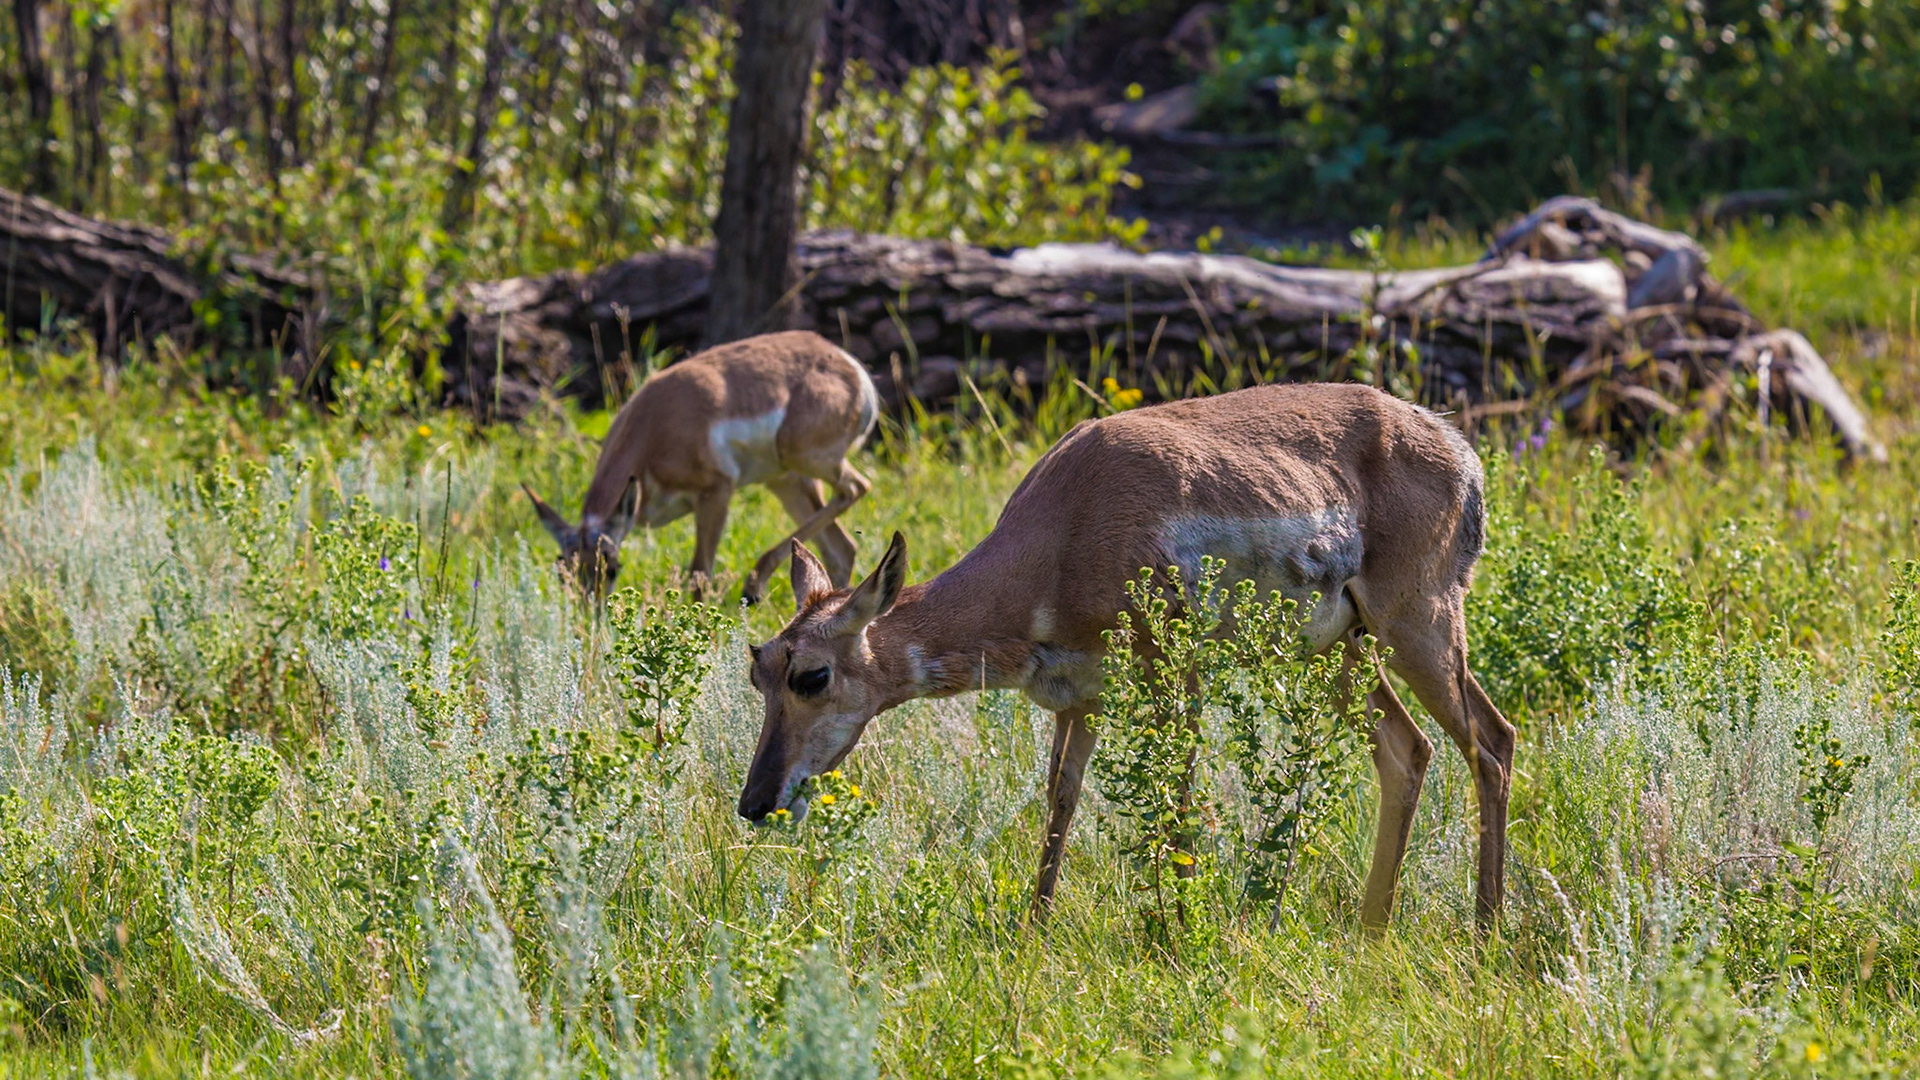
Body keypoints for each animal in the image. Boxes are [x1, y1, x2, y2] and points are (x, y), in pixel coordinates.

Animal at [524, 330, 879, 603]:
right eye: (562, 571)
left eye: (611, 567)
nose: (590, 621)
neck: (652, 425)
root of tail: (847, 364)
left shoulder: (715, 493)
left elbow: (699, 574)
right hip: (786, 481)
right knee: (840, 549)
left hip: (801, 457)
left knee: (857, 488)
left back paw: (755, 583)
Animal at [736, 381, 1516, 930]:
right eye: (757, 667)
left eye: (813, 674)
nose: (753, 803)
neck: (1058, 537)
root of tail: (1456, 447)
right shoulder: (1079, 699)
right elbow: (1061, 801)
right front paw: (1036, 927)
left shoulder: (1175, 673)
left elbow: (1178, 794)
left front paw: (1176, 931)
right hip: (1336, 651)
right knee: (1409, 750)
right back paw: (1371, 928)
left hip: (1417, 623)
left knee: (1491, 739)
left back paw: (1485, 928)